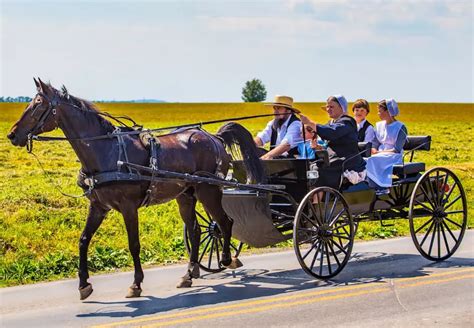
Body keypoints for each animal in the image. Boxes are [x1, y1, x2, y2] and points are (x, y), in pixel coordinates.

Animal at [7, 79, 264, 300]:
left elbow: (134, 244)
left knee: (224, 223)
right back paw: (189, 274)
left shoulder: (129, 207)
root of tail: (214, 138)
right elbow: (83, 240)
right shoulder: (98, 207)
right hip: (186, 195)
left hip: (208, 190)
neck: (107, 152)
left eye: (38, 105)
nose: (12, 134)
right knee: (195, 231)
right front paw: (83, 284)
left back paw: (227, 259)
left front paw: (136, 284)